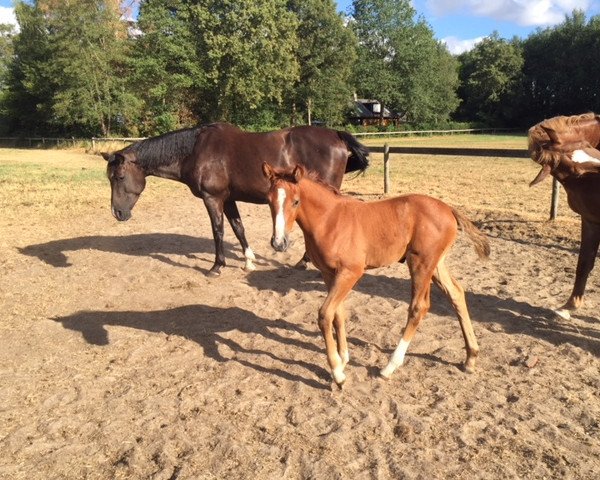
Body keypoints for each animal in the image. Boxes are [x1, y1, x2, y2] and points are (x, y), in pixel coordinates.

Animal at [101, 122, 368, 276]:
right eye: (109, 178)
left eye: (120, 177)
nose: (117, 213)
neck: (196, 151)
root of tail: (336, 135)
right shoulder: (228, 200)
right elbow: (238, 228)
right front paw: (249, 260)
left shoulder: (212, 199)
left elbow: (218, 230)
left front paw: (216, 266)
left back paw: (304, 262)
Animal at [264, 163, 490, 388]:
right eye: (268, 200)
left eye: (296, 201)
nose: (279, 243)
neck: (329, 220)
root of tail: (448, 209)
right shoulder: (329, 274)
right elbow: (338, 314)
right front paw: (344, 358)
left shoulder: (351, 272)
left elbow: (325, 314)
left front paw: (337, 373)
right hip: (435, 265)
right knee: (456, 294)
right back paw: (471, 357)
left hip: (420, 263)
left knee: (419, 307)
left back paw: (389, 367)